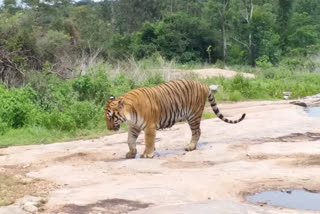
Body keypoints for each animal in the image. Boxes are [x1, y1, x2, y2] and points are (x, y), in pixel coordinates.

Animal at [105, 79, 245, 158]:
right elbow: (130, 140)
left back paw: (190, 147)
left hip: (193, 115)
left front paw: (148, 154)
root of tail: (203, 84)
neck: (130, 114)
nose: (109, 129)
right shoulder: (134, 126)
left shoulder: (149, 126)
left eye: (111, 117)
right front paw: (131, 153)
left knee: (197, 131)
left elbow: (149, 141)